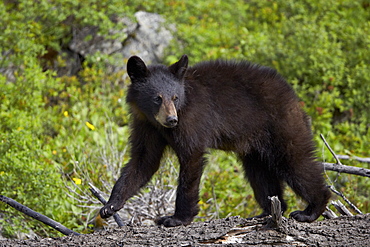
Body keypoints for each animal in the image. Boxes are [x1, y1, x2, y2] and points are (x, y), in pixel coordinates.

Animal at [99, 54, 330, 226]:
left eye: (175, 97)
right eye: (157, 98)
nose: (172, 120)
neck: (159, 123)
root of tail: (292, 93)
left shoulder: (192, 120)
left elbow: (191, 159)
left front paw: (176, 218)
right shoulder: (146, 126)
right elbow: (143, 161)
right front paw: (110, 205)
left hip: (280, 125)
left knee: (295, 160)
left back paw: (310, 210)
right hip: (255, 144)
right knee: (260, 174)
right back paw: (266, 212)